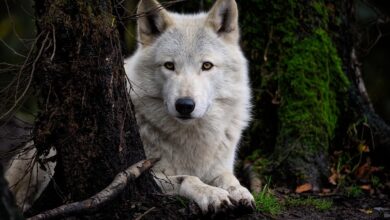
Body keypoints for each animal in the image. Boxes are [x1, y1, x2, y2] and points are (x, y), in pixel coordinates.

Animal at [123, 0, 254, 212]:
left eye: (207, 65)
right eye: (169, 65)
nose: (185, 105)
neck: (192, 137)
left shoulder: (220, 167)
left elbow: (229, 177)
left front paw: (241, 191)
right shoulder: (151, 175)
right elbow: (189, 178)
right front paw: (212, 194)